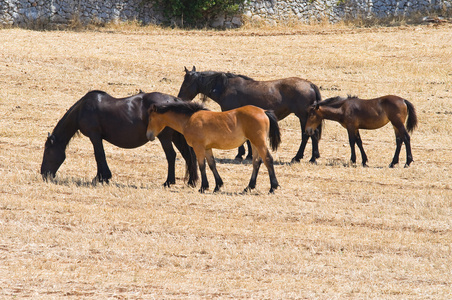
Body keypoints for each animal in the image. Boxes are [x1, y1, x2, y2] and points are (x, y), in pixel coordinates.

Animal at [41, 90, 198, 186]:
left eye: (47, 152)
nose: (43, 174)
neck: (82, 110)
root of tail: (174, 100)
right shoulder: (97, 137)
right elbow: (99, 155)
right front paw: (101, 177)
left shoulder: (94, 136)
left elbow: (99, 155)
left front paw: (101, 178)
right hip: (176, 137)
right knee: (188, 156)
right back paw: (191, 182)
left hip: (165, 137)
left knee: (171, 156)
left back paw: (168, 182)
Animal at [147, 102, 280, 193]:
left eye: (150, 118)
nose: (149, 135)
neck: (190, 119)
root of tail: (263, 111)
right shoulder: (207, 148)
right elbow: (212, 165)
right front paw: (217, 186)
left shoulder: (199, 147)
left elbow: (202, 166)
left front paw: (203, 187)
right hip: (254, 143)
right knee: (256, 162)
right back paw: (249, 187)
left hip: (259, 142)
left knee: (268, 159)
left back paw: (273, 187)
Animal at [177, 66, 322, 163]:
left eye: (186, 83)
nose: (179, 98)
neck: (225, 87)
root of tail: (310, 84)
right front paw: (248, 155)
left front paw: (240, 155)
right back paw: (313, 157)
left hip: (303, 117)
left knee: (307, 135)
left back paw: (301, 157)